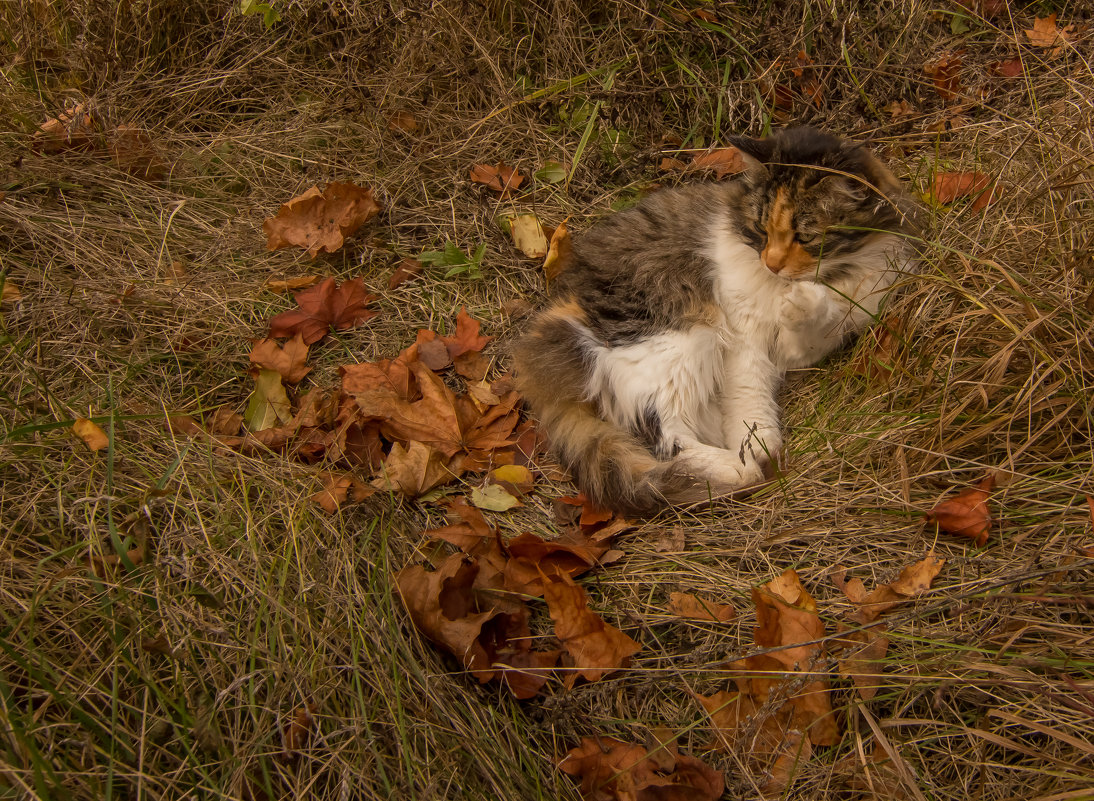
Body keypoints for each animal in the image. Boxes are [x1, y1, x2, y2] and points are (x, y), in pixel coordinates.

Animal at [507, 125, 918, 512]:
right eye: (761, 229)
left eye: (804, 237)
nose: (771, 263)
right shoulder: (742, 338)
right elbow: (749, 397)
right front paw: (757, 445)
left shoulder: (824, 333)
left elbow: (812, 323)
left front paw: (803, 303)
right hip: (678, 337)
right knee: (666, 441)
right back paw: (739, 469)